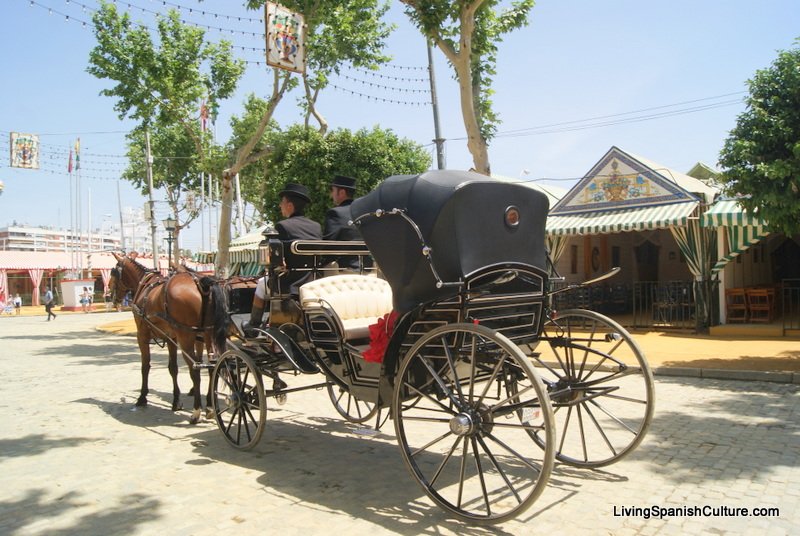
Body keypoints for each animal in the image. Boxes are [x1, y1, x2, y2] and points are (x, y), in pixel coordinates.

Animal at [109, 253, 228, 426]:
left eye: (113, 274)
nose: (111, 297)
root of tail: (202, 283)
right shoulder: (171, 337)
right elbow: (173, 368)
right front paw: (176, 400)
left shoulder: (142, 335)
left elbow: (145, 366)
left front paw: (142, 397)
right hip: (208, 334)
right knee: (213, 366)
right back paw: (210, 407)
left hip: (186, 336)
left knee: (195, 369)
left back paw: (196, 411)